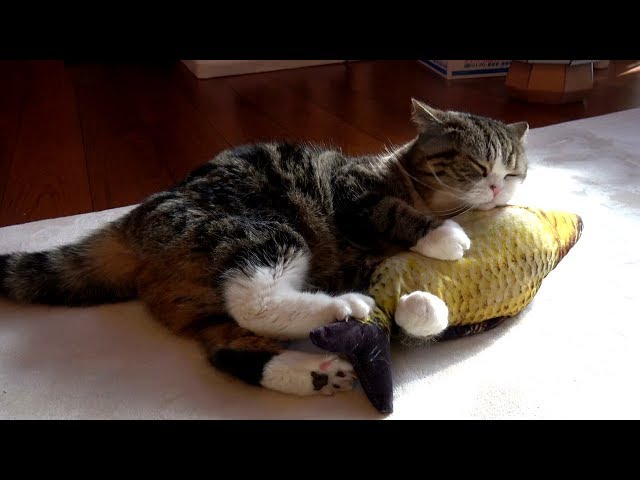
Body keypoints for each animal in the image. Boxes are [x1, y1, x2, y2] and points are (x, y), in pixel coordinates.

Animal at [0, 98, 528, 398]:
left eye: (513, 171)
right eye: (478, 166)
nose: (497, 189)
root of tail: (132, 222)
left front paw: (423, 307)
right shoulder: (353, 189)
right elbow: (391, 211)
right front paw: (444, 236)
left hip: (200, 300)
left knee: (226, 346)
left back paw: (313, 373)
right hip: (260, 231)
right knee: (252, 301)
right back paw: (342, 308)